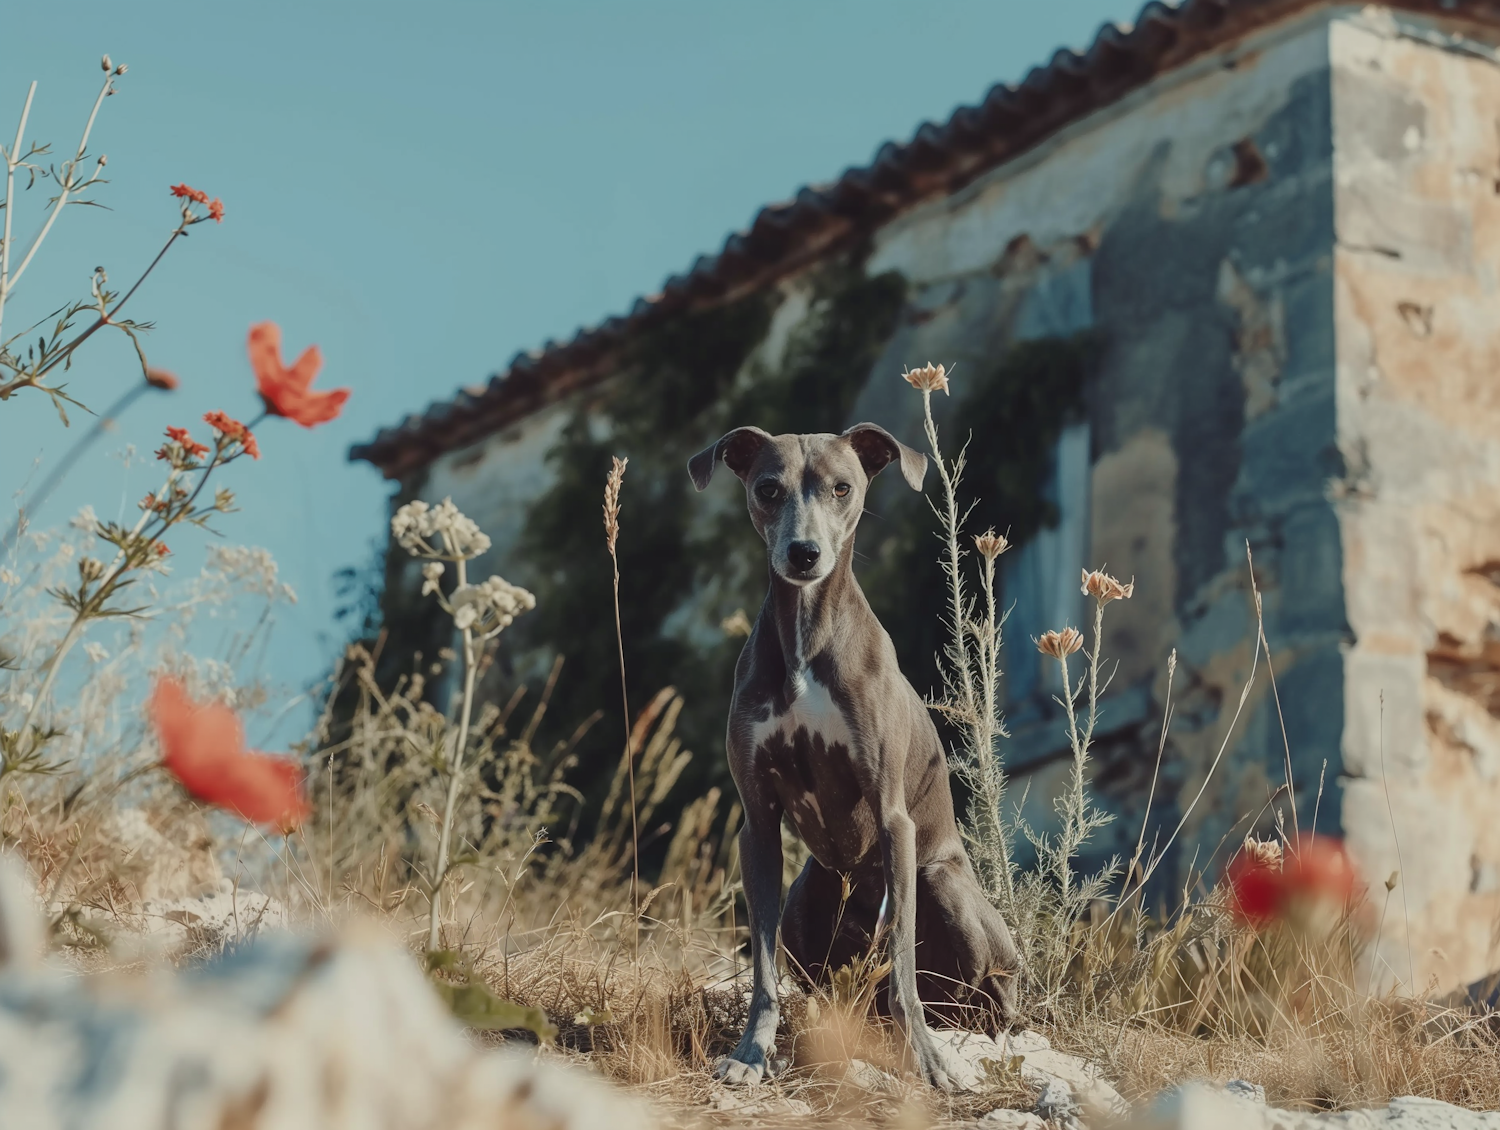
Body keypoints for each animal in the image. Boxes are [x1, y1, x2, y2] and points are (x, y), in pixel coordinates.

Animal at [687, 420, 1020, 1086]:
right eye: (767, 488)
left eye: (842, 487)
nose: (804, 554)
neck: (807, 640)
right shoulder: (757, 823)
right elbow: (764, 973)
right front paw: (751, 1053)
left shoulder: (893, 818)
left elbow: (903, 972)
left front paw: (928, 1063)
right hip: (803, 902)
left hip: (943, 885)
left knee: (974, 1000)